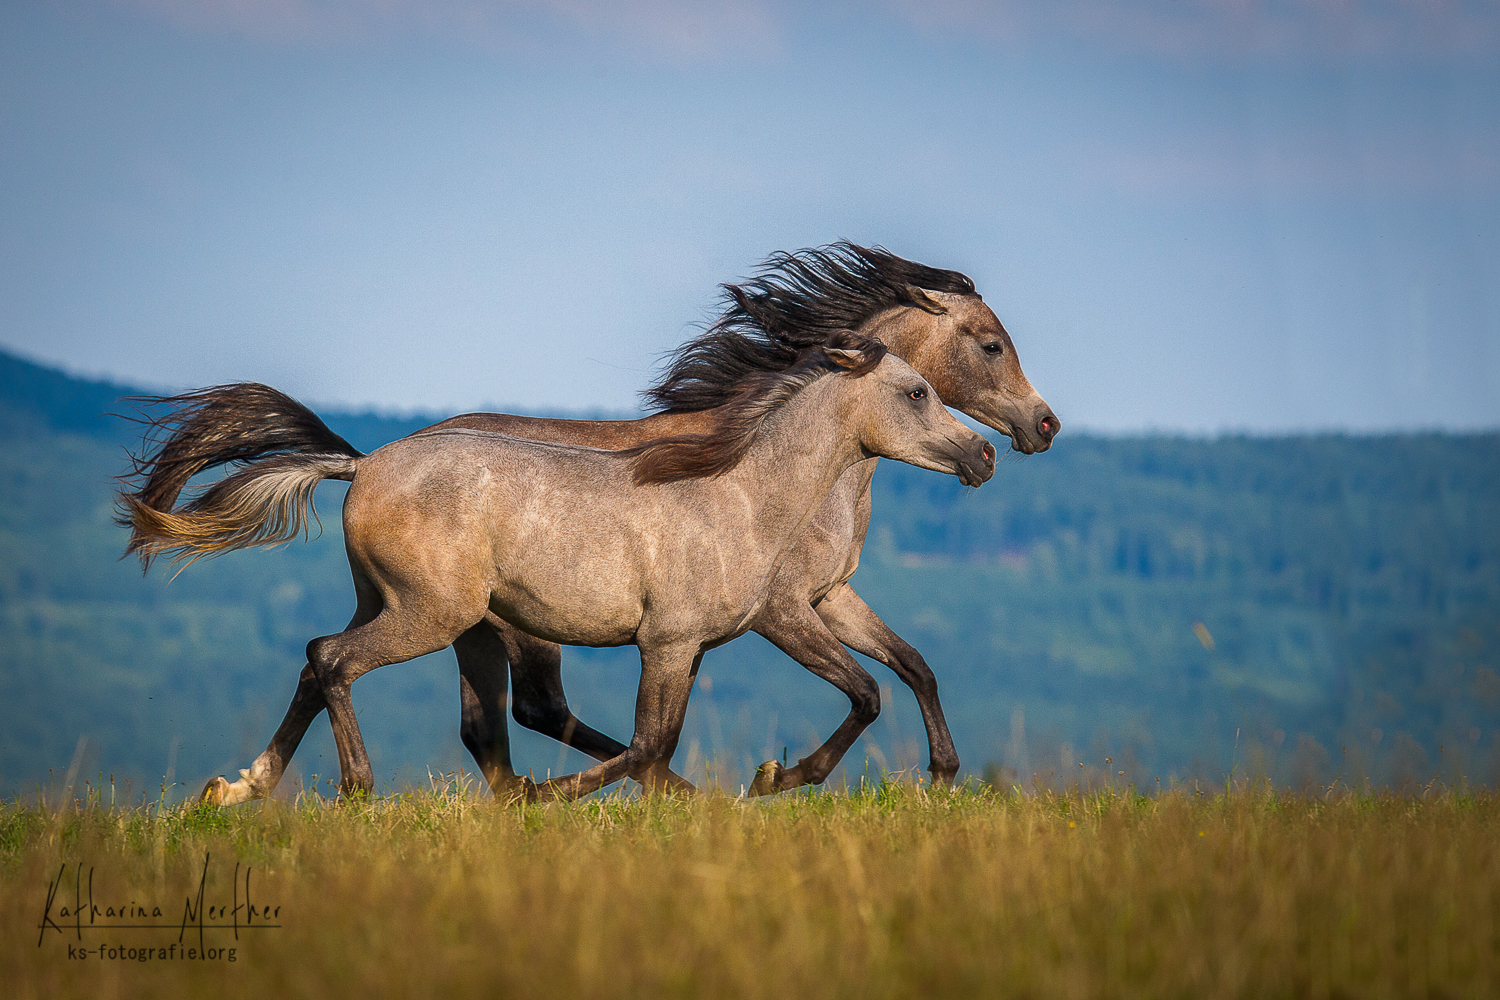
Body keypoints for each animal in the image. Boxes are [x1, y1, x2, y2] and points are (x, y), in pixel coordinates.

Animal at [120, 335, 996, 803]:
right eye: (917, 391)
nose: (986, 454)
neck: (741, 495)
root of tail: (361, 465)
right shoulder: (681, 640)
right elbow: (649, 746)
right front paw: (765, 780)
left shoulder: (707, 641)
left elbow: (662, 743)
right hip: (430, 616)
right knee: (332, 661)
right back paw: (359, 790)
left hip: (409, 611)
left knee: (326, 671)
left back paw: (239, 788)